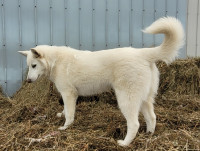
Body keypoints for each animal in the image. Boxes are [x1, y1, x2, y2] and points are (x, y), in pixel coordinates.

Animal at [18, 17, 184, 147]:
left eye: (34, 65)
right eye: (29, 66)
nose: (28, 80)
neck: (55, 61)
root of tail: (142, 53)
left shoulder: (69, 94)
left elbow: (70, 114)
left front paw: (65, 127)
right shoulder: (68, 95)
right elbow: (65, 109)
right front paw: (61, 115)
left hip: (126, 100)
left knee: (134, 124)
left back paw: (125, 143)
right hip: (145, 99)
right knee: (152, 117)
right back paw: (149, 135)